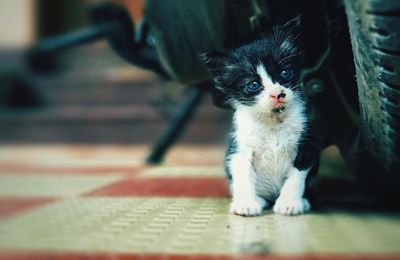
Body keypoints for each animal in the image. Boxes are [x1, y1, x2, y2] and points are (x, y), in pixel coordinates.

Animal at [203, 18, 318, 216]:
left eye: (285, 73)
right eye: (253, 84)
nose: (277, 94)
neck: (273, 121)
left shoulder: (307, 145)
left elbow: (296, 175)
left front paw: (289, 203)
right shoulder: (239, 149)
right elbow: (242, 175)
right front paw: (246, 204)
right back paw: (258, 200)